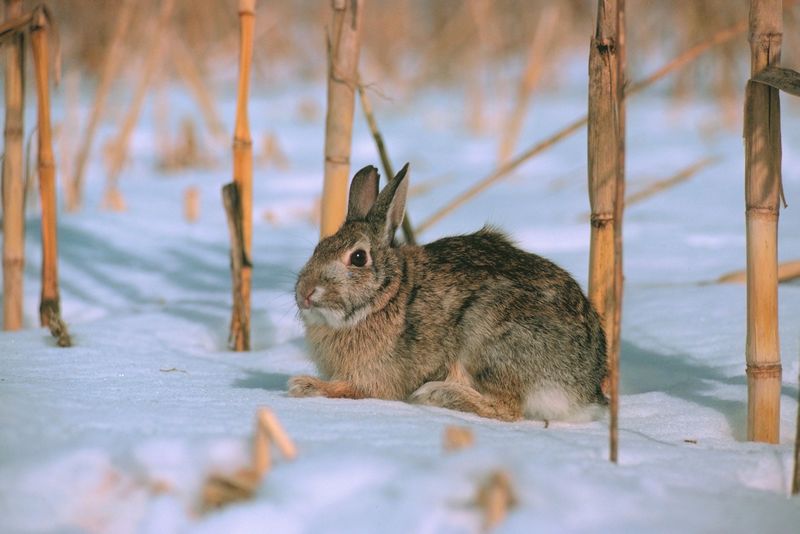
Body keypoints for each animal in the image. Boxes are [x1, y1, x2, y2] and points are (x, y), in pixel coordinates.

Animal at [288, 165, 608, 426]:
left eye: (357, 258)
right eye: (317, 248)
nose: (305, 293)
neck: (387, 296)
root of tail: (584, 388)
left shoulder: (374, 378)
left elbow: (350, 389)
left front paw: (304, 386)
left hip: (488, 339)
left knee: (506, 409)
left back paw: (437, 393)